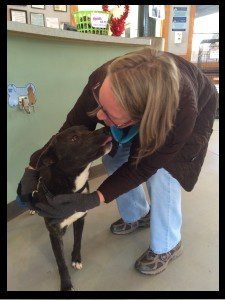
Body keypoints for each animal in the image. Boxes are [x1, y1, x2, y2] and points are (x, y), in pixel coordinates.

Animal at [33, 126, 112, 290]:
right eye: (74, 138)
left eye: (87, 129)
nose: (107, 129)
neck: (69, 190)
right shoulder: (54, 233)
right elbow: (61, 263)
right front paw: (66, 284)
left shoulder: (80, 218)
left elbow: (78, 241)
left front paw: (76, 259)